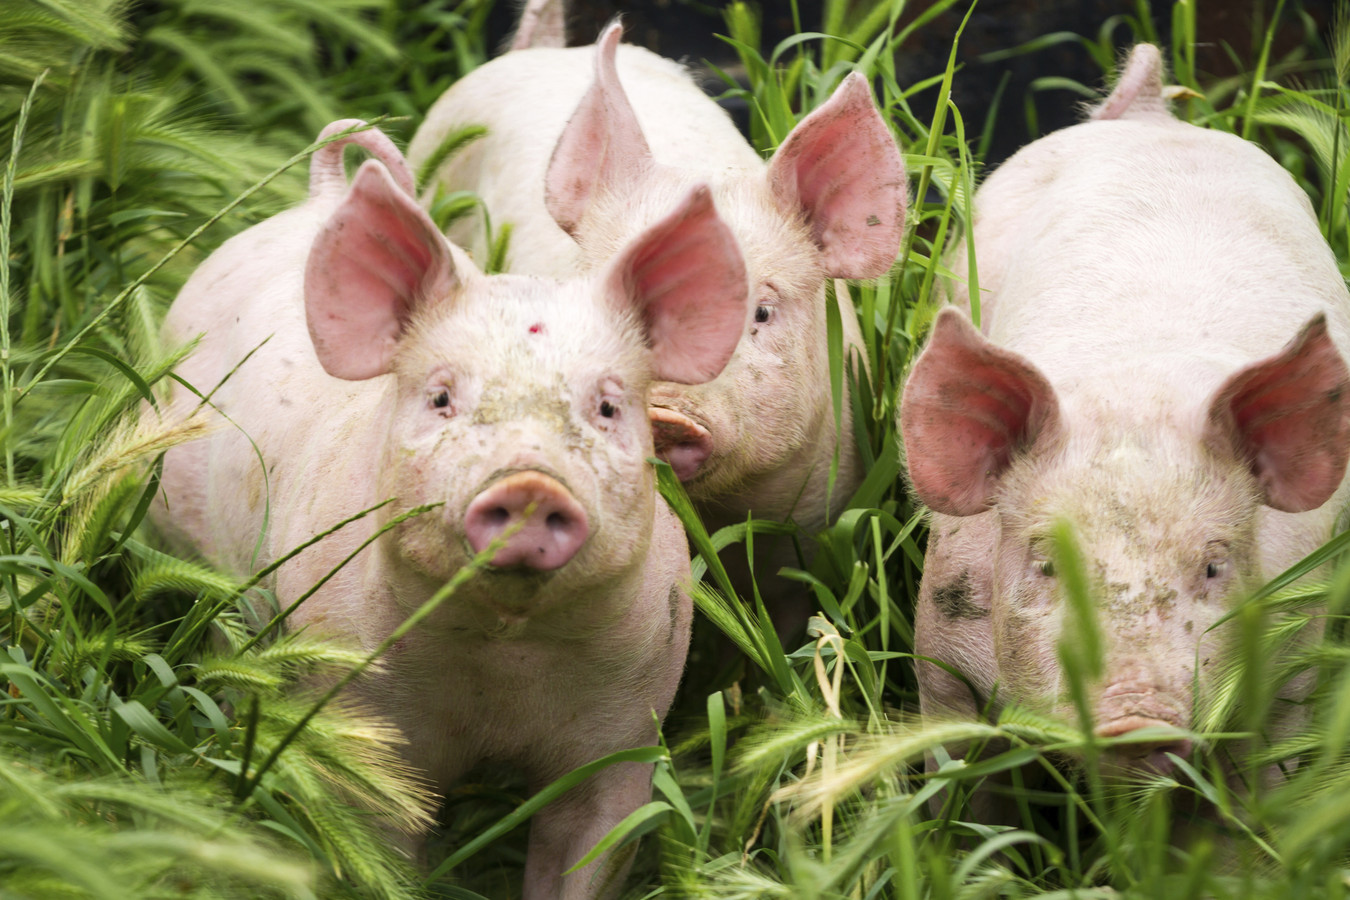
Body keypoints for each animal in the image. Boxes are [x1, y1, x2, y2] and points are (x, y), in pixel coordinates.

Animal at [155, 121, 750, 900]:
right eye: (442, 397)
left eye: (608, 407)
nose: (530, 485)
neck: (504, 658)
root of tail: (321, 197)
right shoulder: (359, 713)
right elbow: (382, 842)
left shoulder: (627, 727)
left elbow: (587, 850)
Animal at [896, 42, 1350, 788]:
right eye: (1047, 565)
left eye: (1214, 568)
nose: (1136, 718)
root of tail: (1153, 116)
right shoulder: (942, 655)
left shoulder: (1293, 673)